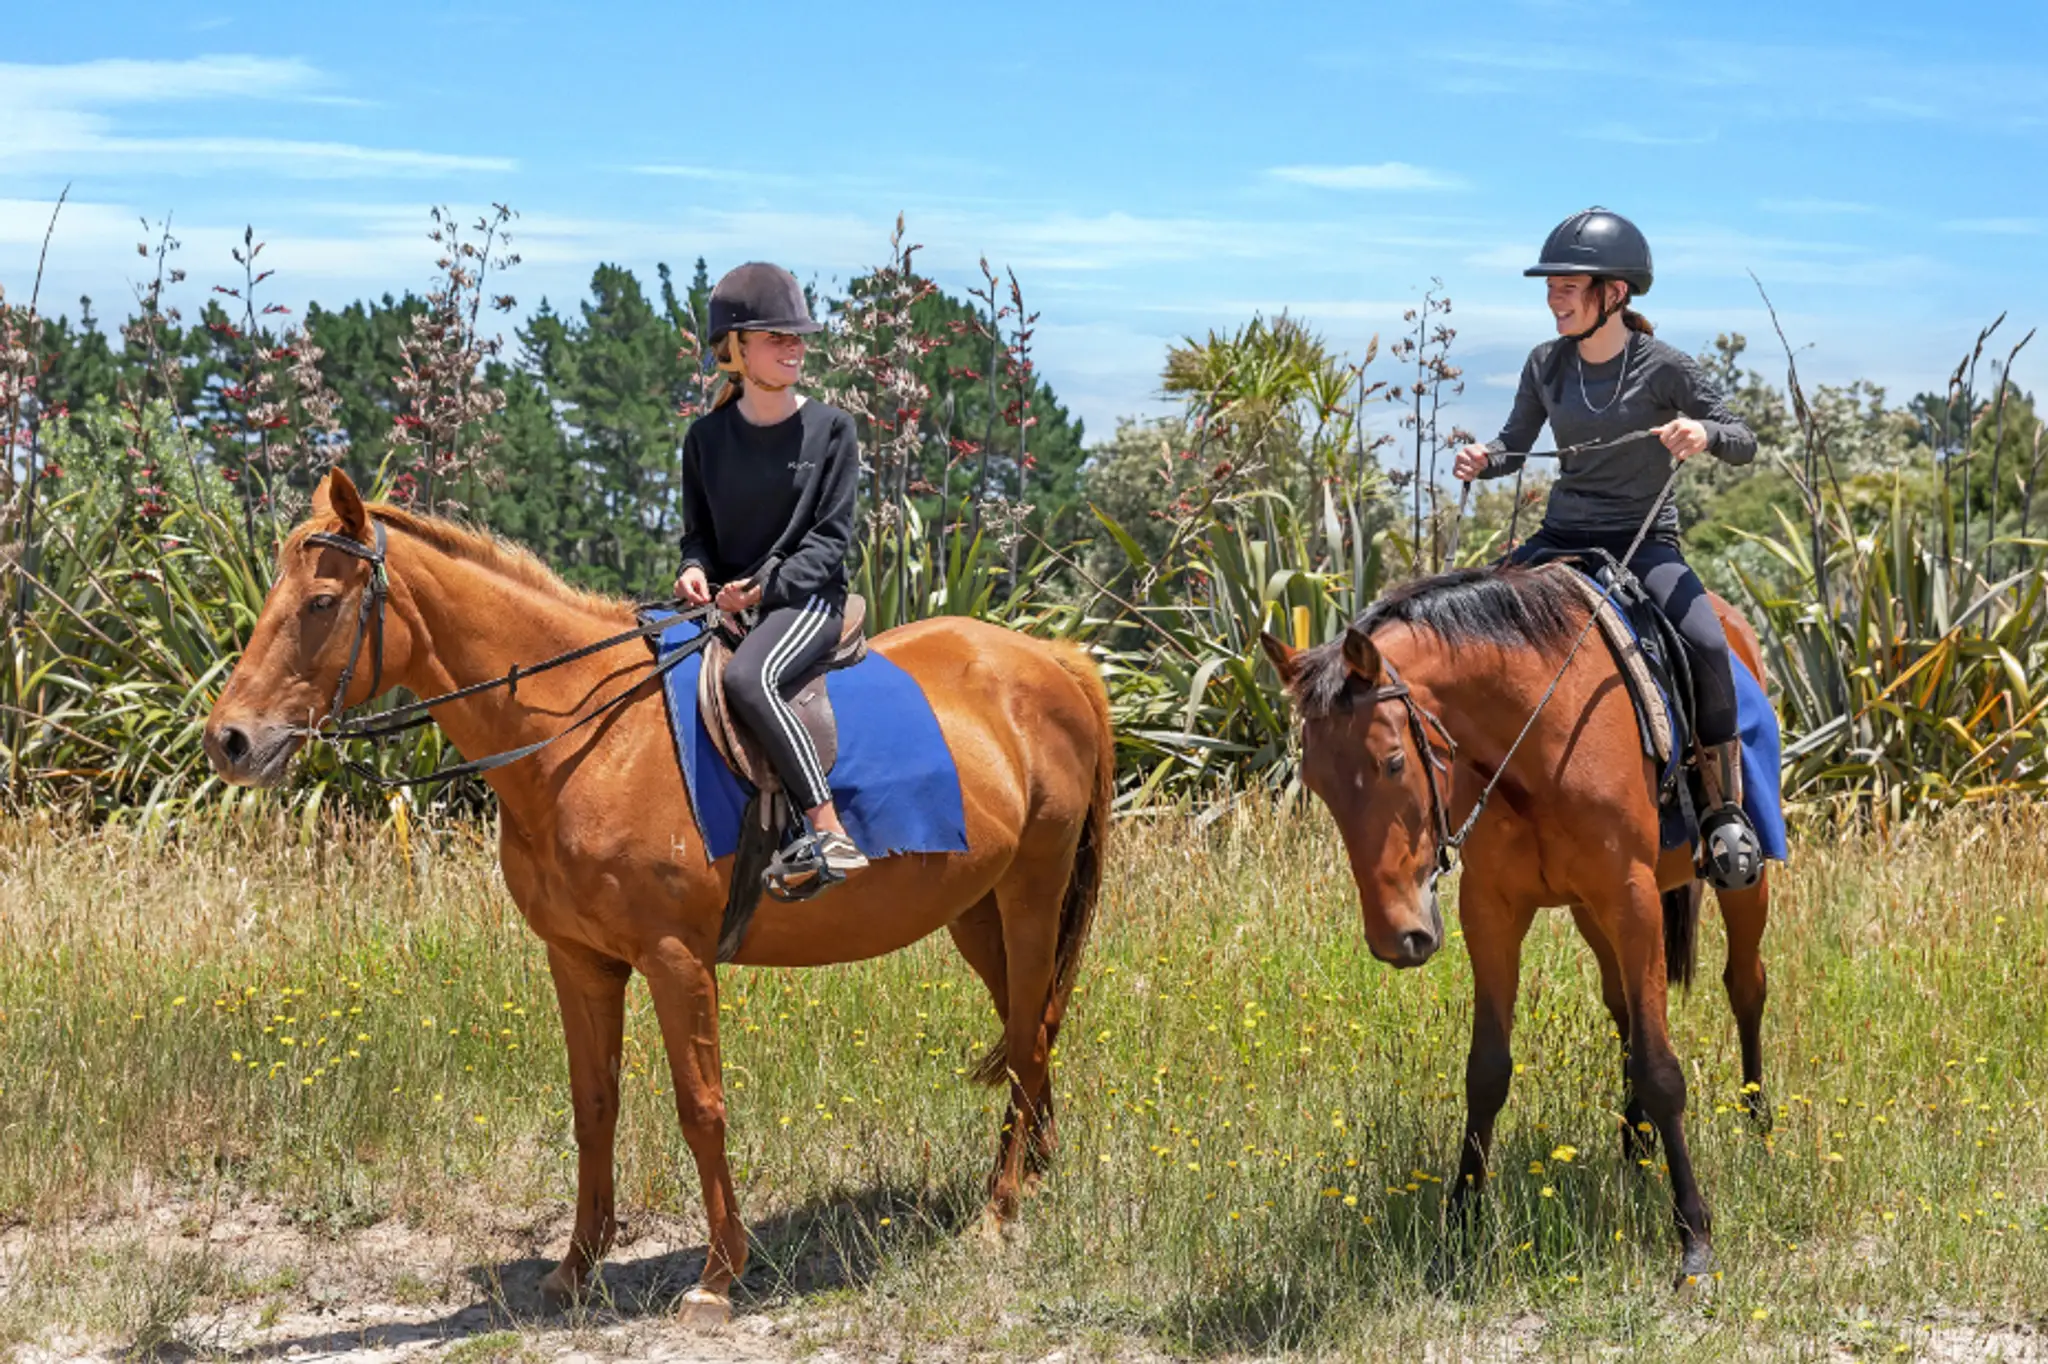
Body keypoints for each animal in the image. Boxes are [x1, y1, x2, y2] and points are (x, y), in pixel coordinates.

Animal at [203, 469, 1114, 1323]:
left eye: (321, 602)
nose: (230, 742)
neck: (584, 742)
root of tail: (1051, 660)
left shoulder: (677, 961)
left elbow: (700, 1107)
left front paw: (718, 1276)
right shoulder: (578, 961)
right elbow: (593, 1105)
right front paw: (575, 1268)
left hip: (1032, 893)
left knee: (1027, 1034)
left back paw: (1001, 1210)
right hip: (976, 911)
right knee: (1031, 1027)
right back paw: (1034, 1174)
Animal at [1260, 565, 1772, 1286]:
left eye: (1392, 761)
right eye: (1315, 778)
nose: (1398, 938)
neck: (1537, 735)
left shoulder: (1633, 898)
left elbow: (1662, 1068)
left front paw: (1694, 1237)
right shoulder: (1492, 910)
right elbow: (1487, 1071)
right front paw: (1460, 1224)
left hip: (1741, 881)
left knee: (1745, 984)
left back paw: (1758, 1125)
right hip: (1591, 915)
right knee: (1624, 1009)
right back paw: (1637, 1143)